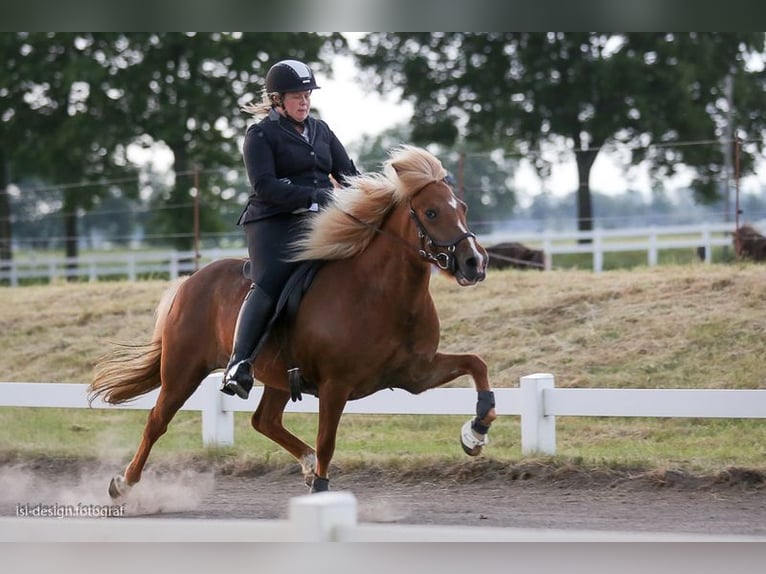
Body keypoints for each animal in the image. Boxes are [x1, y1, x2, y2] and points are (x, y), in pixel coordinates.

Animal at [88, 146, 498, 502]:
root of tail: (189, 281)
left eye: (462, 207)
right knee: (157, 421)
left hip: (277, 376)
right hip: (182, 371)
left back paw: (304, 464)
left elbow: (476, 364)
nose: (475, 262)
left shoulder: (414, 374)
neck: (383, 294)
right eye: (431, 213)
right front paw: (321, 490)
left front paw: (475, 433)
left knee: (264, 421)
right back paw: (123, 484)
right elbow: (327, 441)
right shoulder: (336, 385)